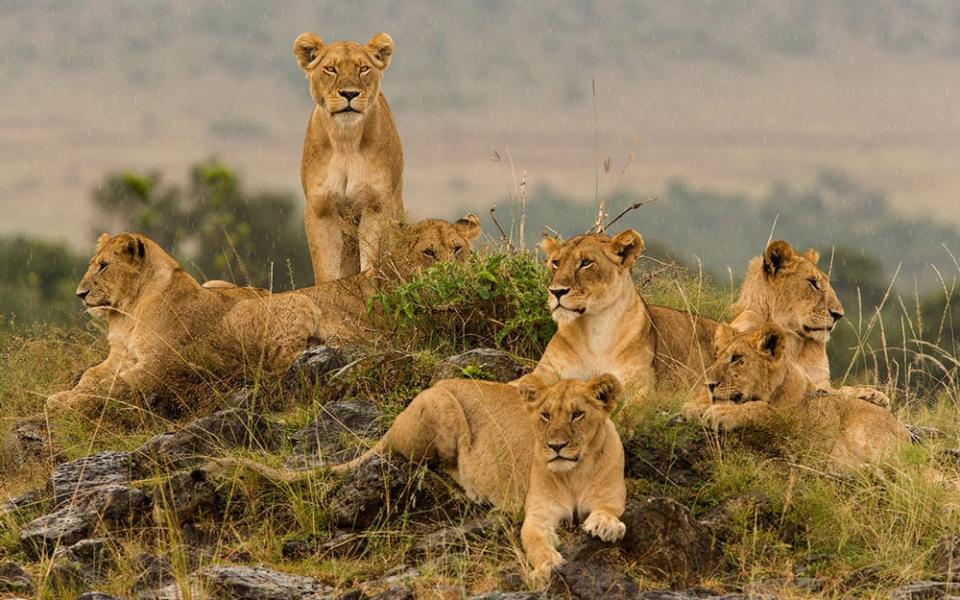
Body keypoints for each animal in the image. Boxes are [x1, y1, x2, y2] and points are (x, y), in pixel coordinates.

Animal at [290, 31, 400, 284]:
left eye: (363, 69)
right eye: (331, 69)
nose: (349, 93)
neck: (345, 141)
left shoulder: (376, 204)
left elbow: (370, 261)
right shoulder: (320, 208)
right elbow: (325, 267)